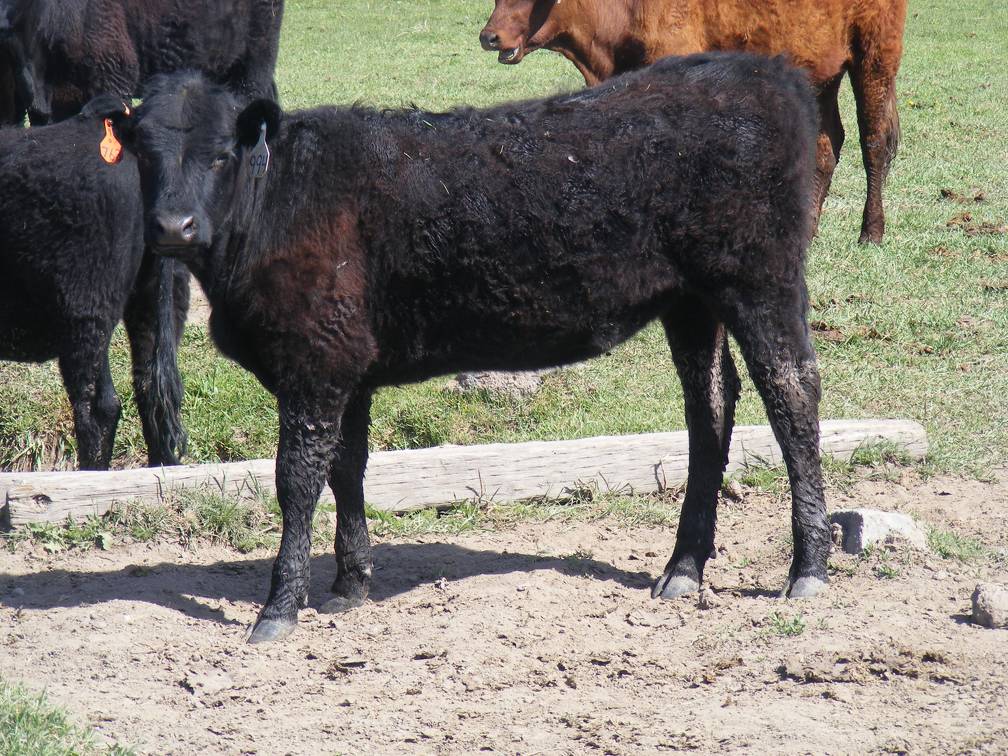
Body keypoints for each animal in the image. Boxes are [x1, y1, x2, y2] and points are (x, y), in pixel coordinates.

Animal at [119, 54, 826, 645]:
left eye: (220, 154)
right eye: (144, 152)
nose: (173, 228)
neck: (276, 202)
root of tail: (763, 72)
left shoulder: (314, 366)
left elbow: (296, 481)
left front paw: (279, 609)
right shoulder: (349, 366)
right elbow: (347, 469)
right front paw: (349, 584)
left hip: (759, 281)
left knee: (791, 394)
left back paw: (808, 568)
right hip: (691, 301)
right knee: (711, 406)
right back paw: (683, 568)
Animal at [475, 0, 911, 243]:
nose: (489, 36)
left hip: (875, 55)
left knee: (874, 140)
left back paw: (871, 232)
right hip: (820, 71)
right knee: (826, 145)